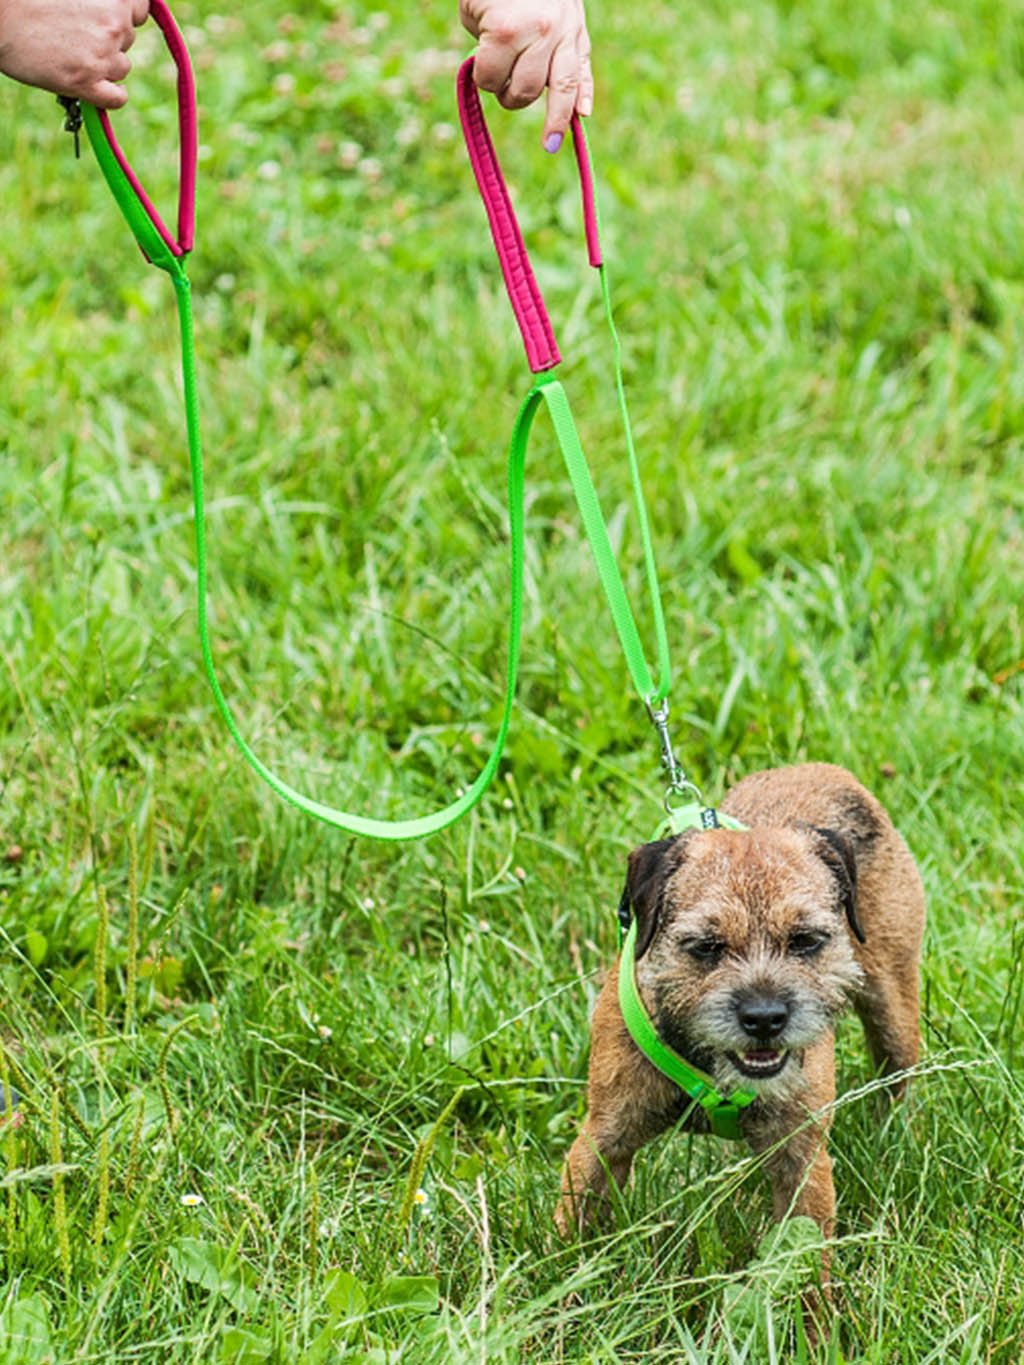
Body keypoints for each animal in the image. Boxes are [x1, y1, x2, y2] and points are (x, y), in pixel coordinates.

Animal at [557, 764, 928, 1250]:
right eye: (706, 946)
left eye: (805, 940)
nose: (765, 1018)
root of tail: (828, 771)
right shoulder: (603, 1140)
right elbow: (572, 1229)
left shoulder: (802, 1159)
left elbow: (805, 1250)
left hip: (892, 1007)